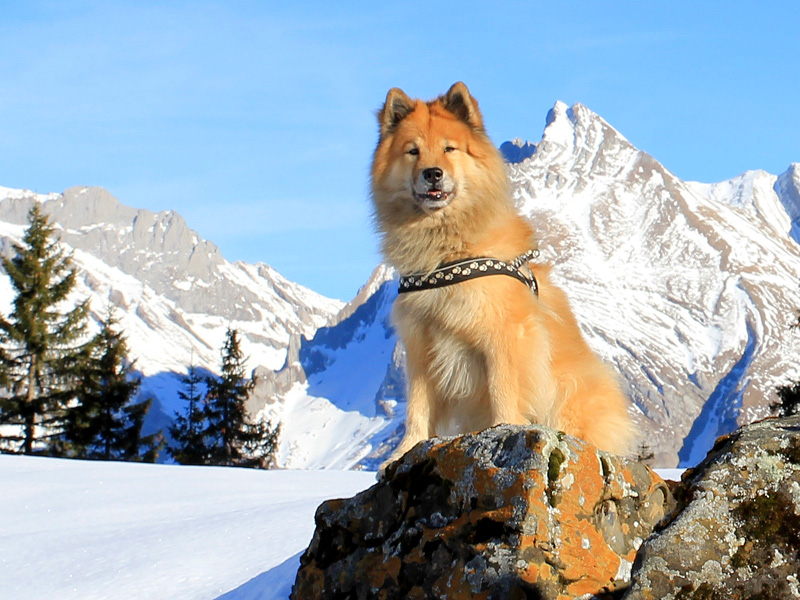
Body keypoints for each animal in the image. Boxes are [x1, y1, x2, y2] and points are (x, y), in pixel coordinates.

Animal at [370, 82, 636, 466]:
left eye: (449, 148)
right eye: (412, 151)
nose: (432, 173)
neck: (447, 252)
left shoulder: (505, 335)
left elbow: (503, 391)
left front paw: (503, 431)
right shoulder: (421, 345)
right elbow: (417, 406)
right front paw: (404, 451)